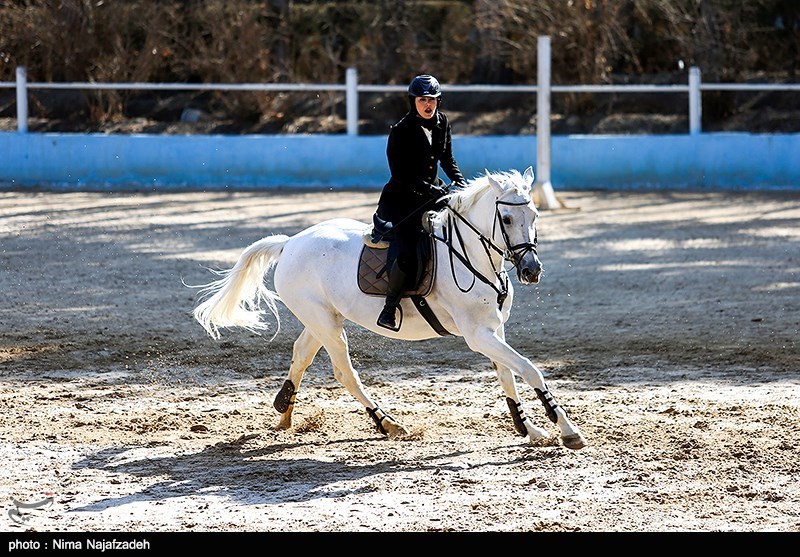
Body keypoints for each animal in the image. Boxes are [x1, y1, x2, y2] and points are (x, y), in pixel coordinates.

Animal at [191, 167, 584, 450]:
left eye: (535, 214)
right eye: (506, 220)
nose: (531, 270)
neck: (473, 256)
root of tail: (290, 243)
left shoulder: (493, 329)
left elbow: (507, 374)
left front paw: (527, 428)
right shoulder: (477, 334)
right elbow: (529, 370)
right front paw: (566, 429)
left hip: (323, 319)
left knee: (302, 353)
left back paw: (285, 411)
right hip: (326, 323)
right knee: (344, 372)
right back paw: (387, 422)